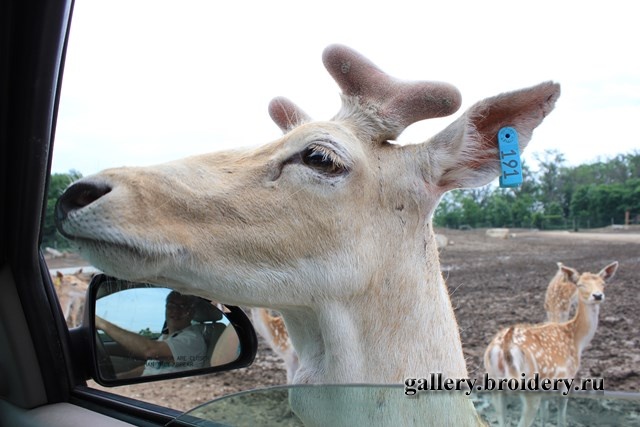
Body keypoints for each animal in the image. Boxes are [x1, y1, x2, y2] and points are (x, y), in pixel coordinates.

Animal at [484, 261, 618, 427]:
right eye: (580, 285)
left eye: (603, 283)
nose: (598, 295)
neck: (576, 340)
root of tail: (504, 348)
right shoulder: (566, 379)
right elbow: (561, 418)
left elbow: (545, 416)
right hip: (529, 389)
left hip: (495, 385)